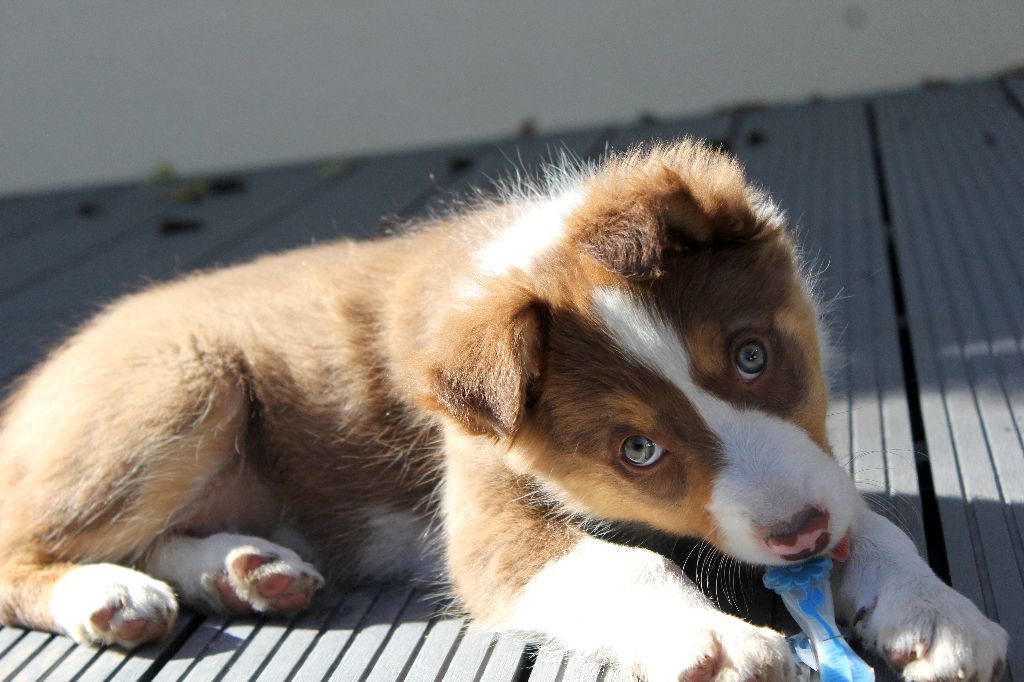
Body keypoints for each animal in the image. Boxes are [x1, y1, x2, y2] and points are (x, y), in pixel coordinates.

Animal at [0, 140, 1007, 675]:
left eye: (754, 357)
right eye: (637, 451)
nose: (799, 538)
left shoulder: (813, 473)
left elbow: (876, 526)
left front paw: (935, 613)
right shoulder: (482, 510)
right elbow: (618, 565)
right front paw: (714, 636)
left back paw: (243, 569)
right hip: (177, 388)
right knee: (23, 544)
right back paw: (109, 595)